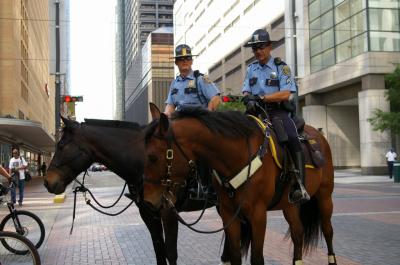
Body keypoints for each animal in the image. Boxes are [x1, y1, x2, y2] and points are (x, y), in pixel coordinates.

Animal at [43, 115, 227, 264]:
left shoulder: (168, 212)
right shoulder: (148, 213)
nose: (47, 182)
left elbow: (170, 253)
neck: (143, 162)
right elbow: (159, 251)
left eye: (61, 146)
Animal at [144, 104, 338, 264]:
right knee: (298, 233)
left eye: (152, 157)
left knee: (328, 231)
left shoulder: (258, 214)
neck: (237, 155)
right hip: (289, 204)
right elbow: (235, 256)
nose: (148, 201)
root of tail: (318, 134)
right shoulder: (229, 213)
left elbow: (257, 258)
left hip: (325, 196)